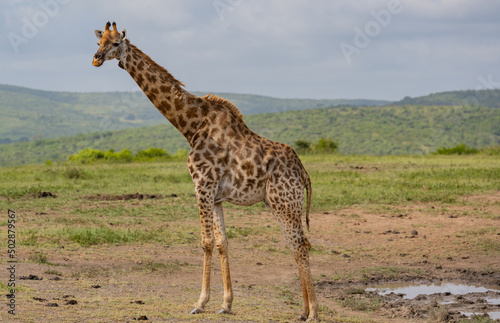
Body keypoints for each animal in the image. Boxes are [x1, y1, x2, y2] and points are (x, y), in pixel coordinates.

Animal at [92, 22, 318, 322]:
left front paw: (199, 302)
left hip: (285, 201)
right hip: (279, 202)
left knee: (301, 244)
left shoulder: (202, 185)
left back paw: (314, 312)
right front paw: (226, 303)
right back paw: (302, 311)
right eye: (99, 41)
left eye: (117, 43)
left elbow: (206, 242)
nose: (96, 58)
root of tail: (303, 172)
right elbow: (223, 243)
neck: (191, 126)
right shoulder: (217, 195)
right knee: (295, 244)